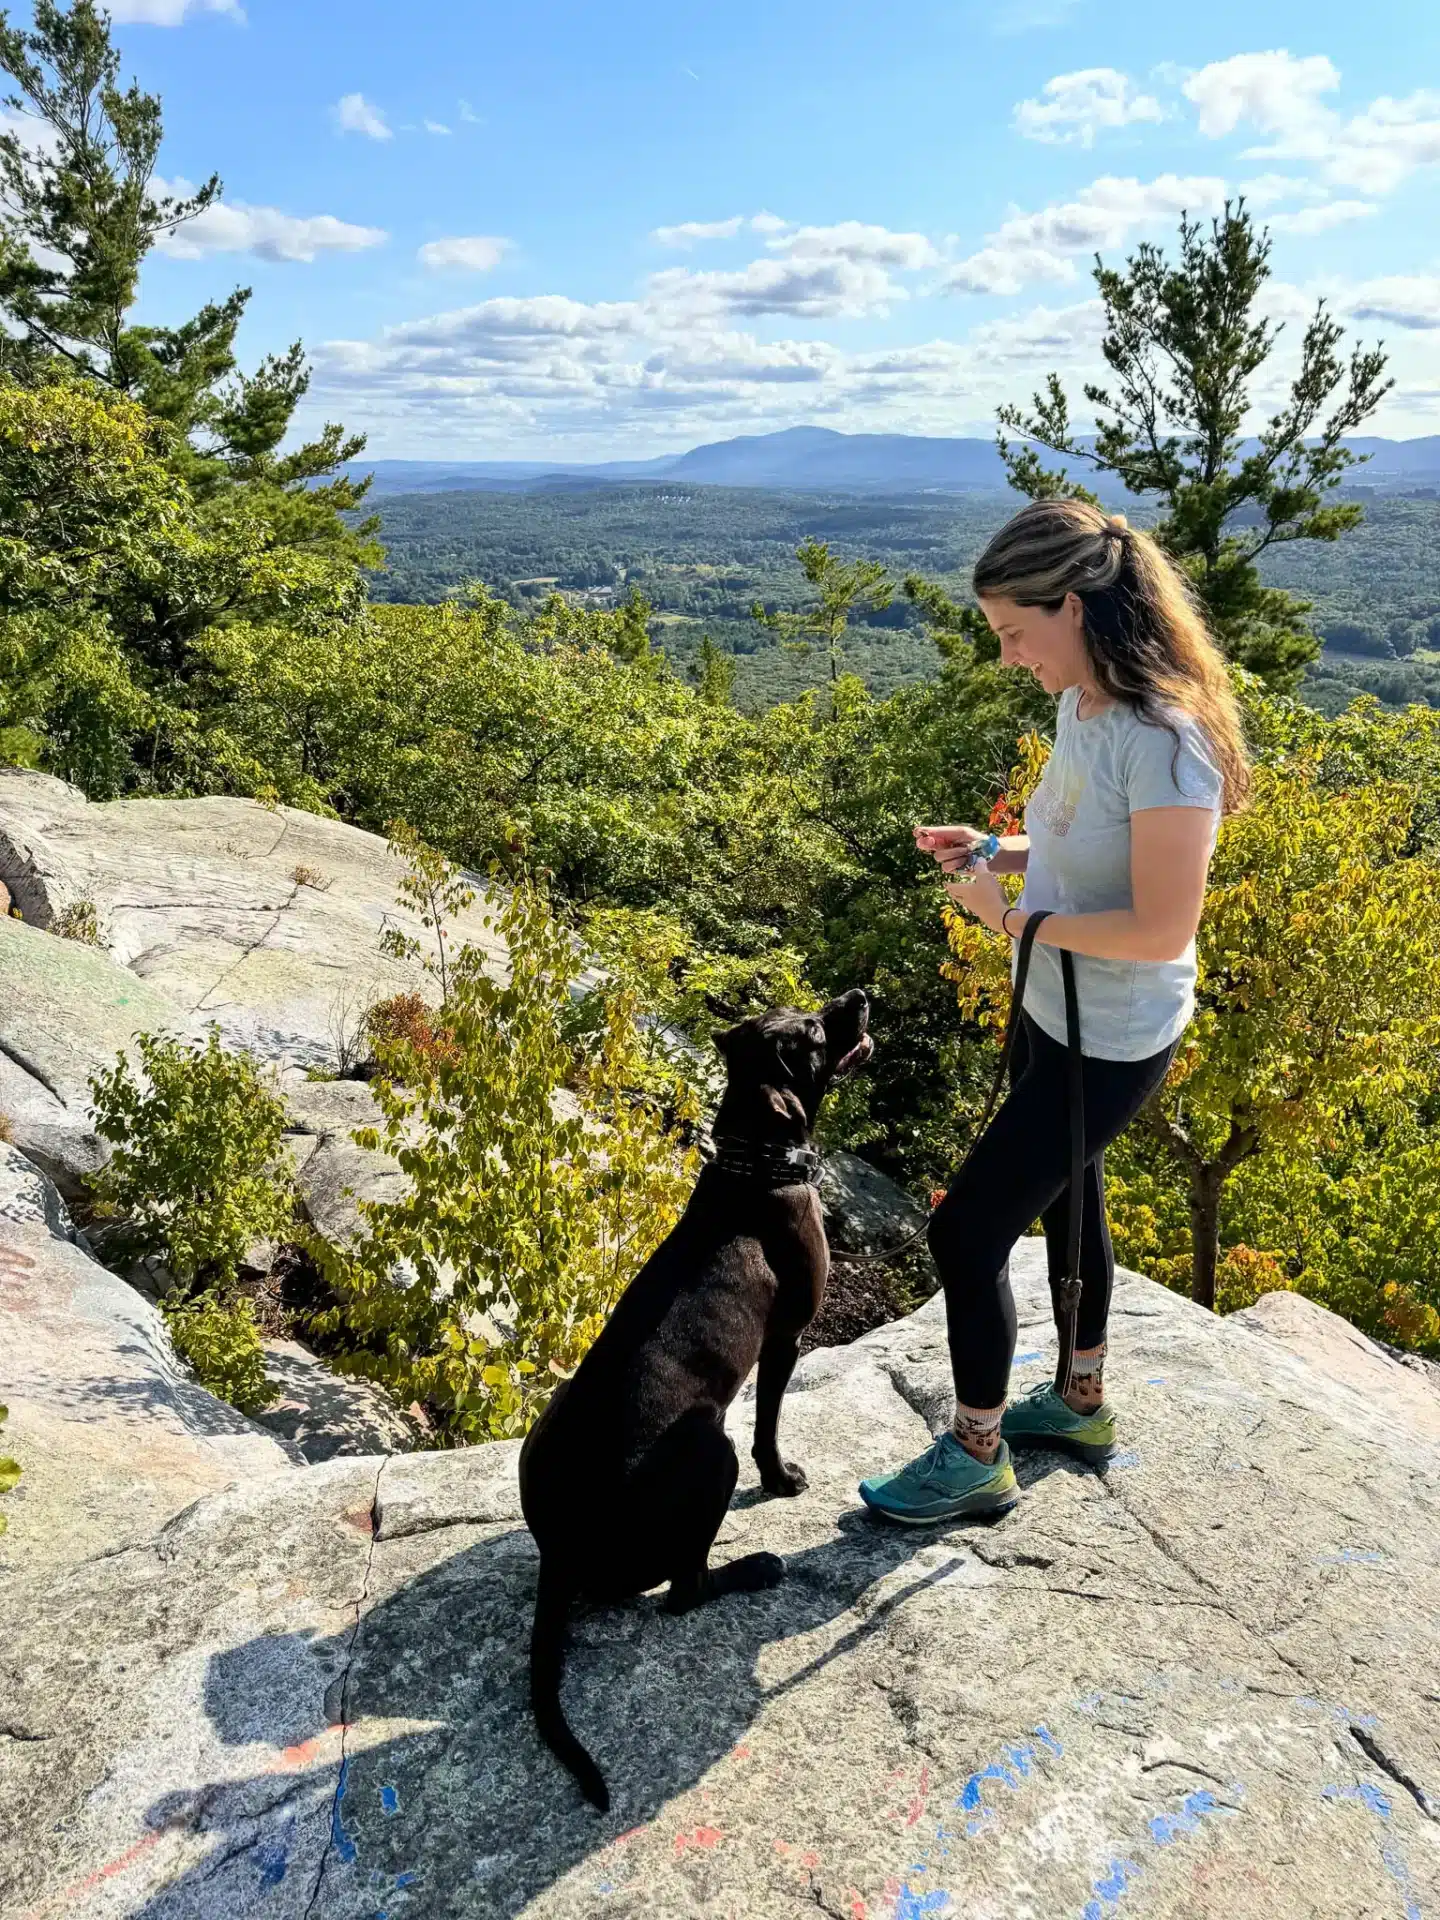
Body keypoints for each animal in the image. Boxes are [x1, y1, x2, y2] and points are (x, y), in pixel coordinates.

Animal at [526, 990, 875, 1812]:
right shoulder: (787, 1339)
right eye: (815, 1033)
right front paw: (782, 1480)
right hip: (708, 1451)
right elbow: (771, 1421)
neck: (757, 1163)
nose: (856, 999)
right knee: (687, 1588)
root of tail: (561, 1548)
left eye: (811, 1012)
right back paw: (754, 1568)